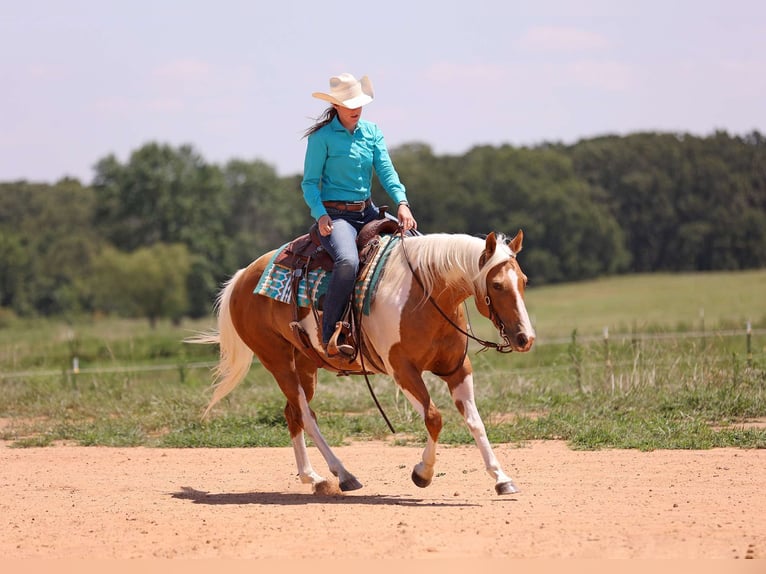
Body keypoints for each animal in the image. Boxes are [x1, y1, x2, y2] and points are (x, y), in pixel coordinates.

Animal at [191, 232, 536, 498]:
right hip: (276, 360)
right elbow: (434, 418)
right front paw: (422, 473)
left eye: (524, 281)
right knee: (306, 415)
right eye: (497, 285)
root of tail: (242, 277)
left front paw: (502, 478)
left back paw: (313, 478)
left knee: (292, 414)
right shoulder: (402, 371)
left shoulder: (457, 370)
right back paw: (343, 475)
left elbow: (475, 421)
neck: (425, 295)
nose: (525, 338)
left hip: (305, 363)